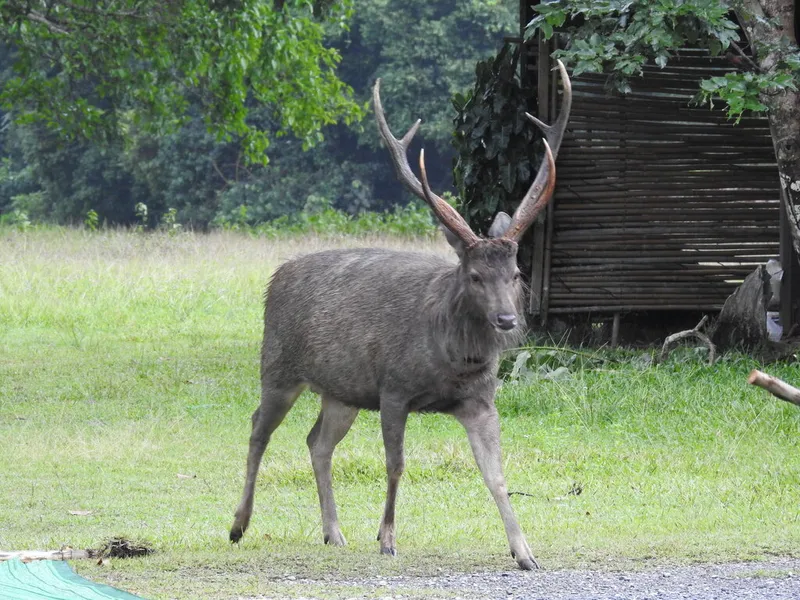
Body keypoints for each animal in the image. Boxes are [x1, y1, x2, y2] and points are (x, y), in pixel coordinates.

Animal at [230, 61, 572, 571]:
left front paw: (525, 552)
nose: (508, 321)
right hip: (278, 368)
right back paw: (238, 524)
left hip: (343, 392)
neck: (449, 359)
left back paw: (334, 532)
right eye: (474, 275)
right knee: (257, 429)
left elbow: (496, 475)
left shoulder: (480, 400)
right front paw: (387, 538)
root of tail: (277, 276)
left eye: (516, 272)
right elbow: (396, 465)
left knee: (317, 441)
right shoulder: (393, 389)